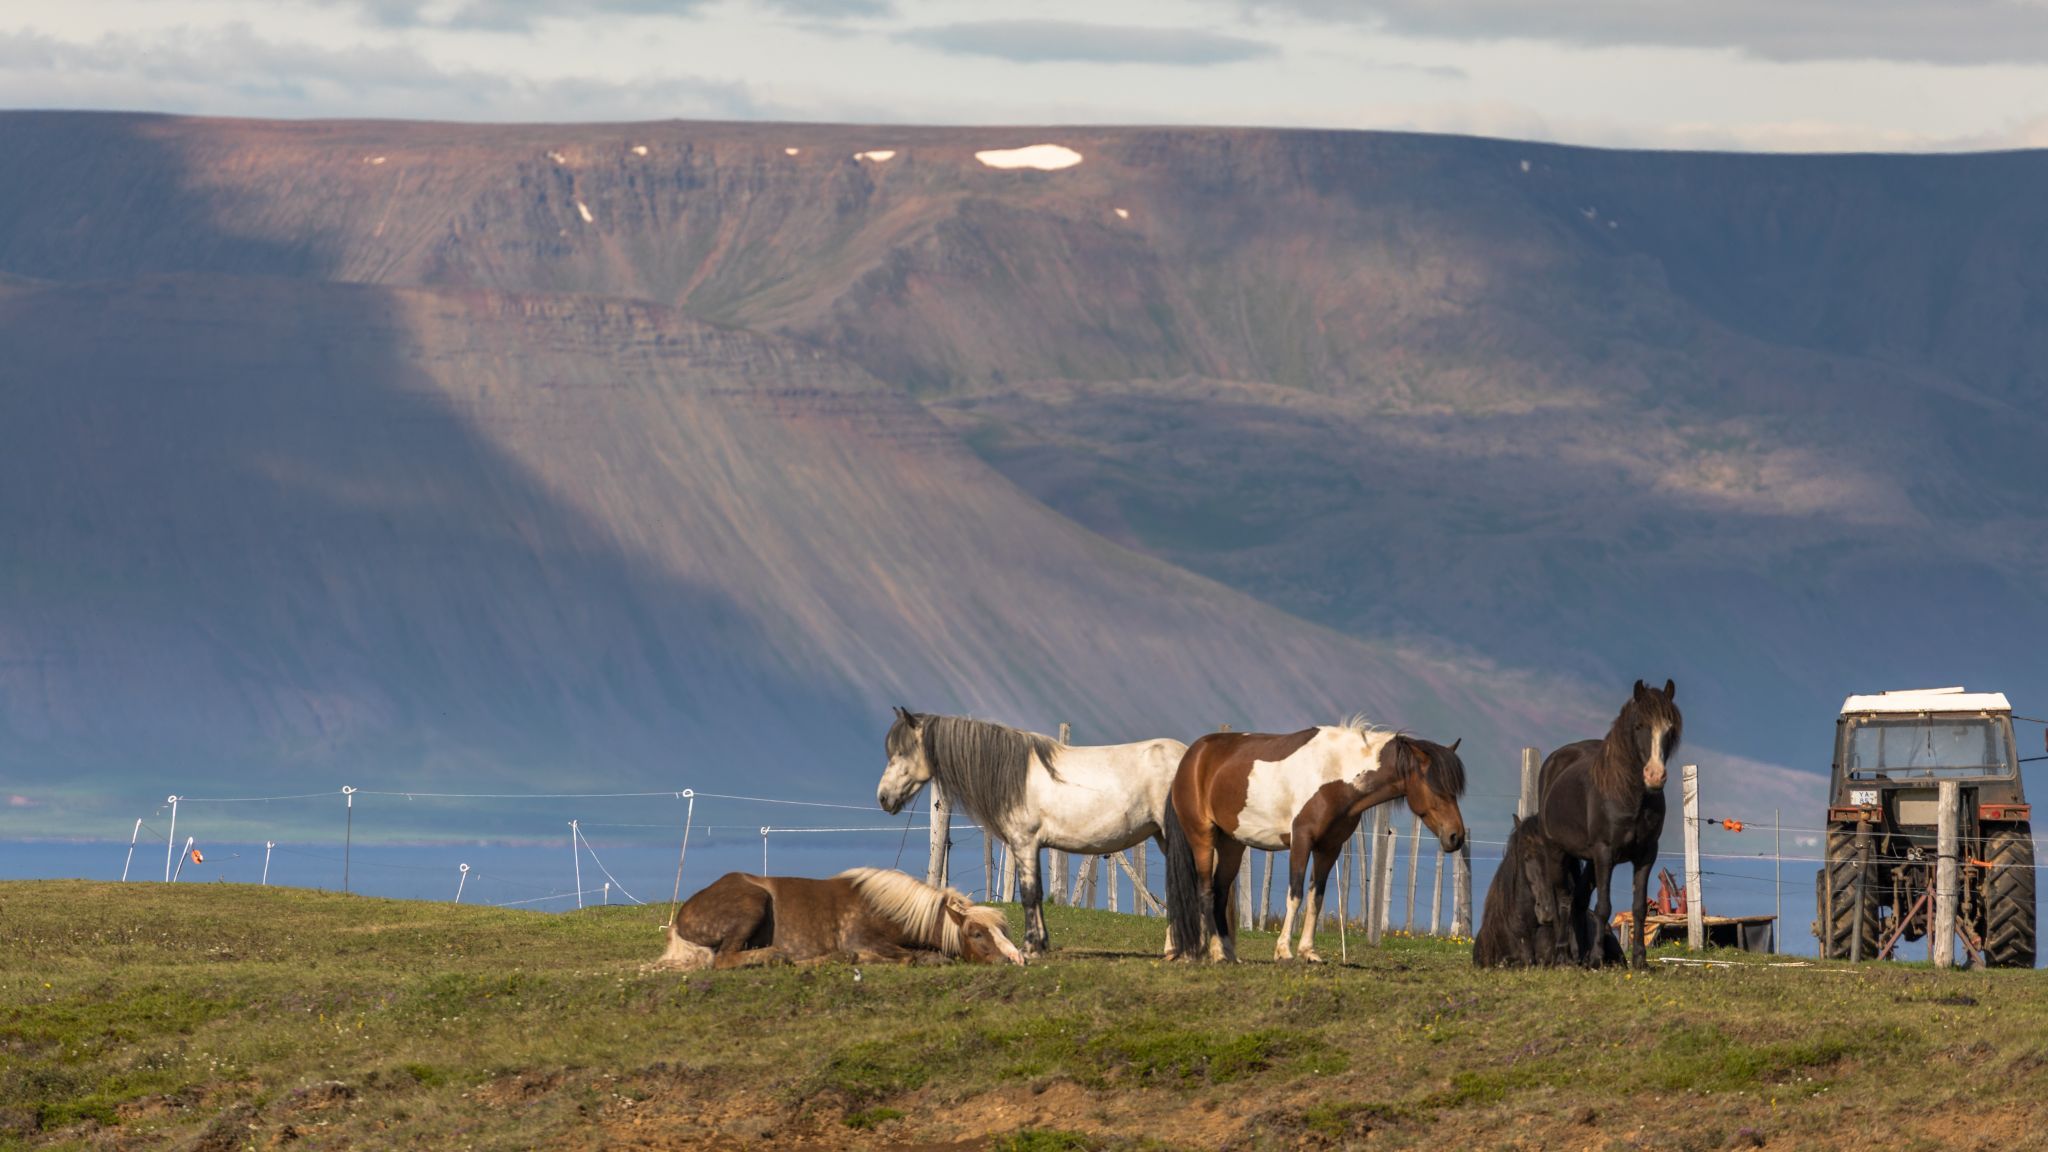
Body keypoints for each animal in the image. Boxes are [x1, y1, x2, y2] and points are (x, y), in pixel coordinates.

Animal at [652, 867, 1025, 970]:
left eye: (1003, 929)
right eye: (976, 933)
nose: (1016, 958)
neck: (882, 907)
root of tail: (680, 920)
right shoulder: (861, 938)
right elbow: (907, 956)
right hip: (752, 903)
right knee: (725, 959)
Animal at [877, 708, 1187, 957]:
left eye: (902, 752)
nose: (883, 798)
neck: (1012, 775)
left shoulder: (1023, 843)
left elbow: (1027, 894)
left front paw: (1030, 948)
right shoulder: (1032, 847)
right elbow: (1036, 892)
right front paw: (1041, 944)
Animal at [1164, 719, 1469, 963]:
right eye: (1435, 786)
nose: (1456, 836)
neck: (1336, 774)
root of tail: (1191, 758)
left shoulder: (1329, 848)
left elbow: (1316, 898)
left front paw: (1308, 952)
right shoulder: (1302, 840)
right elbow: (1295, 895)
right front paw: (1284, 951)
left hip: (1232, 844)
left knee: (1220, 892)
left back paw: (1228, 953)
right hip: (1202, 837)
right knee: (1205, 891)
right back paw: (1213, 953)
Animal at [1536, 678, 1682, 970]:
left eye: (1669, 728)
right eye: (1639, 725)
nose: (1655, 775)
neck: (1627, 794)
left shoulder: (1646, 855)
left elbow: (1639, 908)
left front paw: (1639, 960)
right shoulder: (1605, 853)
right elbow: (1604, 906)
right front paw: (1596, 959)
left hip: (1588, 860)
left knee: (1579, 901)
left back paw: (1579, 956)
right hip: (1557, 851)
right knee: (1563, 899)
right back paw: (1563, 955)